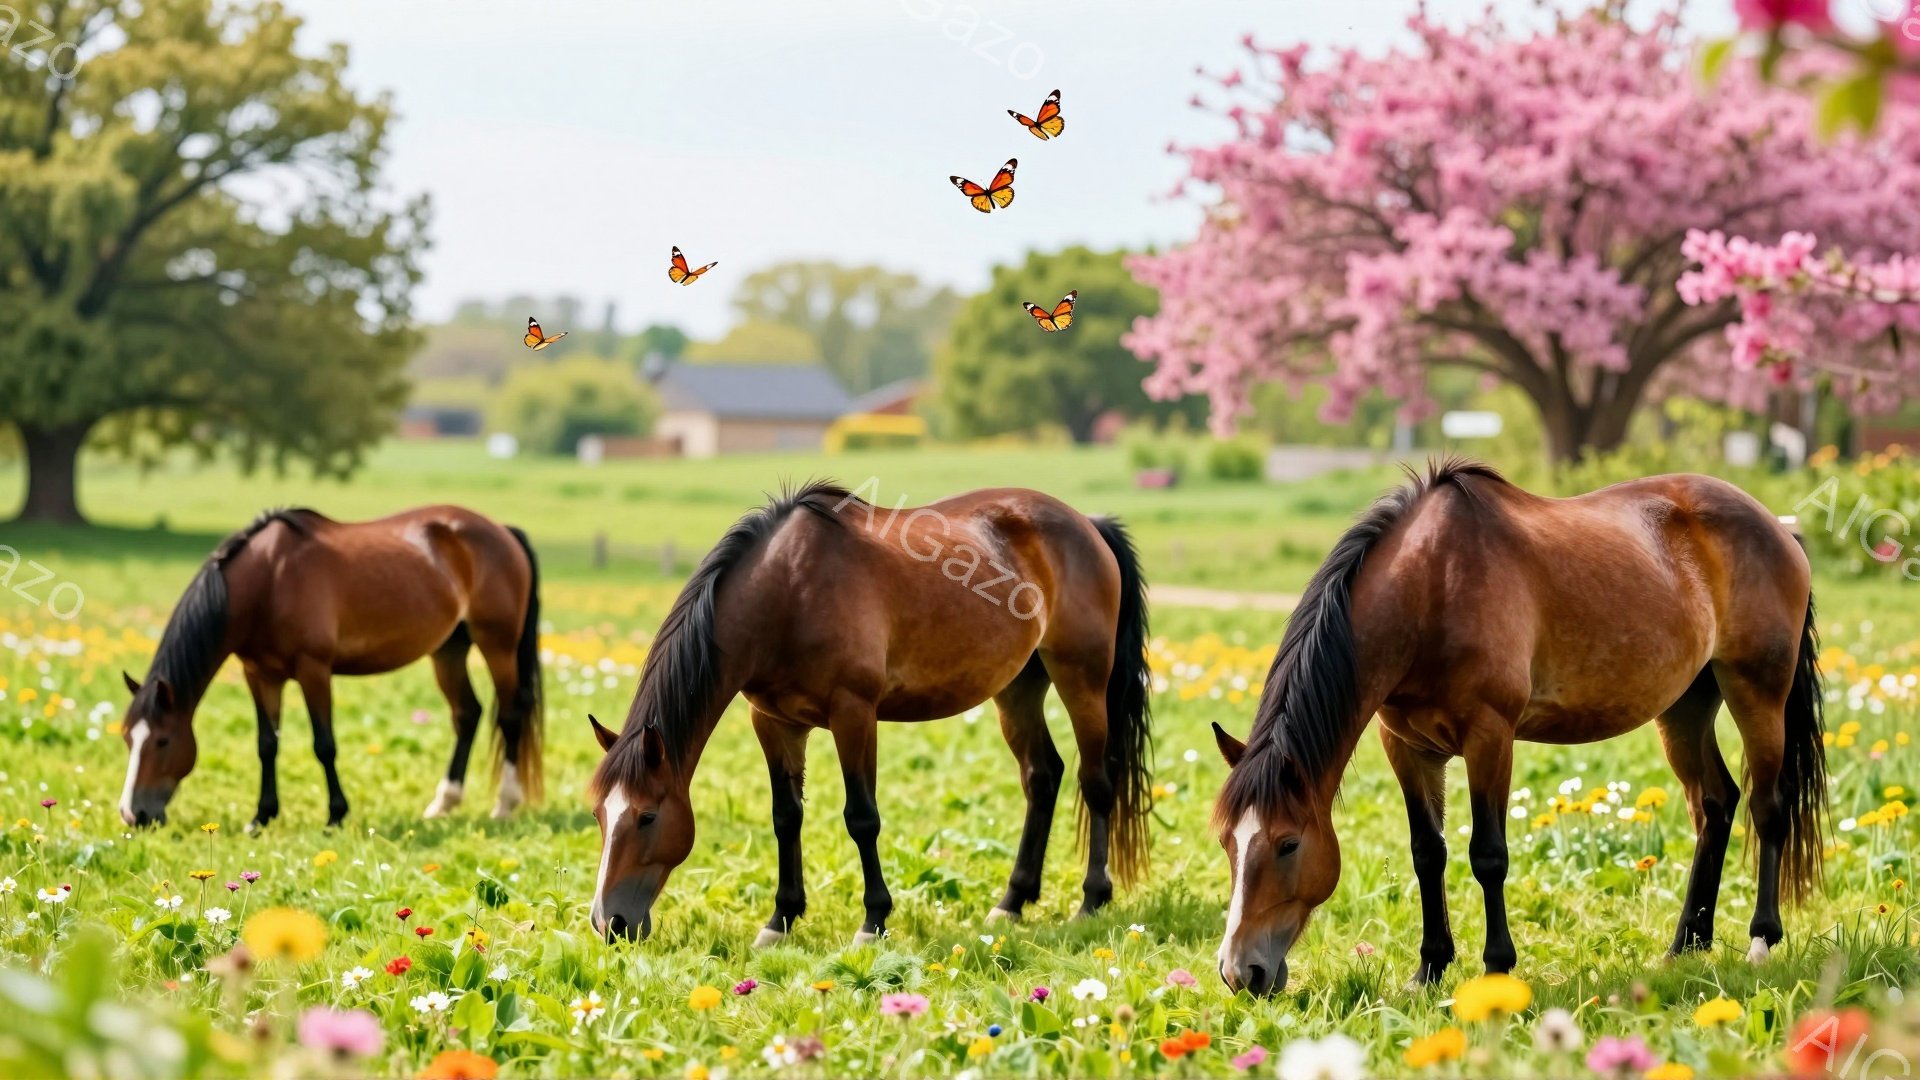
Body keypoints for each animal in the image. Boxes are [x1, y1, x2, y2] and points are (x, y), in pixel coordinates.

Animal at [117, 506, 545, 828]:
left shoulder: (314, 671)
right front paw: (262, 817)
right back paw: (444, 803)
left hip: (497, 645)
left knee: (509, 714)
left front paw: (336, 815)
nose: (133, 814)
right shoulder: (260, 675)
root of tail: (502, 530)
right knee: (467, 714)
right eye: (127, 739)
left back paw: (504, 805)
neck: (268, 582)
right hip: (449, 649)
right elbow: (266, 744)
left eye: (163, 740)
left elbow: (324, 745)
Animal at [586, 480, 1153, 945]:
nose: (608, 923)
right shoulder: (772, 722)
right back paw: (1011, 902)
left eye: (647, 816)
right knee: (1043, 775)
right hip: (1017, 688)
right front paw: (780, 920)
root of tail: (1088, 524)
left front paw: (873, 921)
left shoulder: (853, 714)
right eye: (598, 815)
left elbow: (862, 818)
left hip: (1082, 677)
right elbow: (785, 817)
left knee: (1096, 781)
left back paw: (1091, 900)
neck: (787, 593)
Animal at [1211, 460, 1824, 995]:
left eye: (1288, 844)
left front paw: (1496, 967)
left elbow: (1488, 855)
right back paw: (1685, 946)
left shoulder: (1490, 737)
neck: (1432, 588)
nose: (1241, 972)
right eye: (1226, 842)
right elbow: (1427, 852)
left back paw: (1761, 941)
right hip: (1685, 706)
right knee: (1714, 805)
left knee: (1768, 808)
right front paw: (1429, 970)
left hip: (1757, 692)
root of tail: (1779, 528)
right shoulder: (1407, 747)